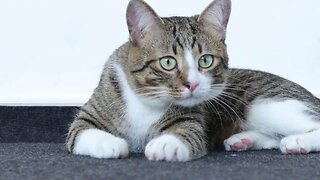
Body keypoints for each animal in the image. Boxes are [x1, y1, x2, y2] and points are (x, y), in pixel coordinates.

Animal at [65, 0, 320, 162]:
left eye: (205, 60)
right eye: (168, 62)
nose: (193, 84)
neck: (147, 101)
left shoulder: (192, 120)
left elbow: (187, 133)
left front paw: (166, 143)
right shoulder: (89, 115)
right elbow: (82, 131)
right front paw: (110, 143)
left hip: (268, 105)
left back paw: (297, 142)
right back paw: (244, 140)